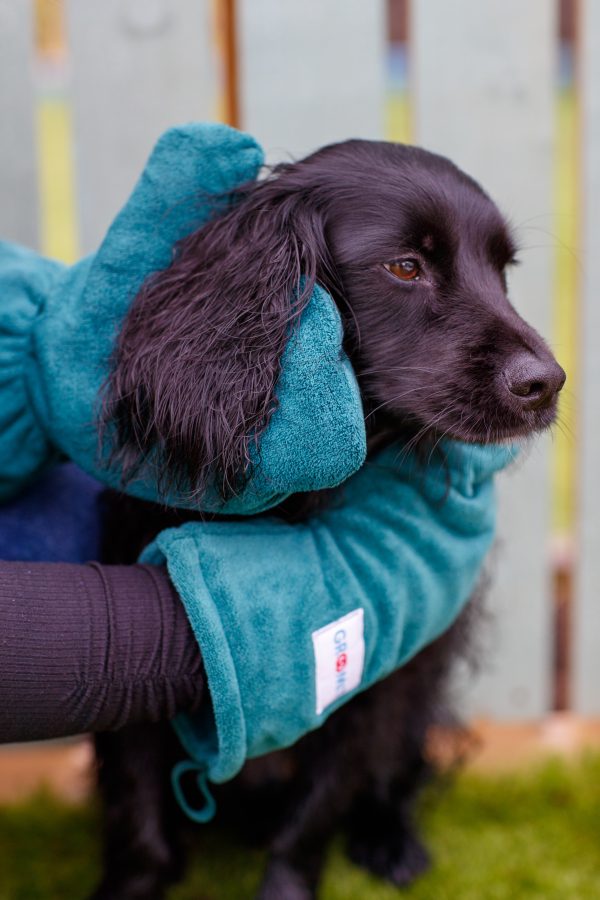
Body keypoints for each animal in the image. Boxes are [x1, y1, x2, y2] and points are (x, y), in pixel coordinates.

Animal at [92, 137, 564, 896]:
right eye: (405, 266)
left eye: (502, 272)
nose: (547, 384)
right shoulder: (134, 684)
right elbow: (140, 825)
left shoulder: (377, 669)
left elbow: (312, 816)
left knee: (398, 777)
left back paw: (391, 842)